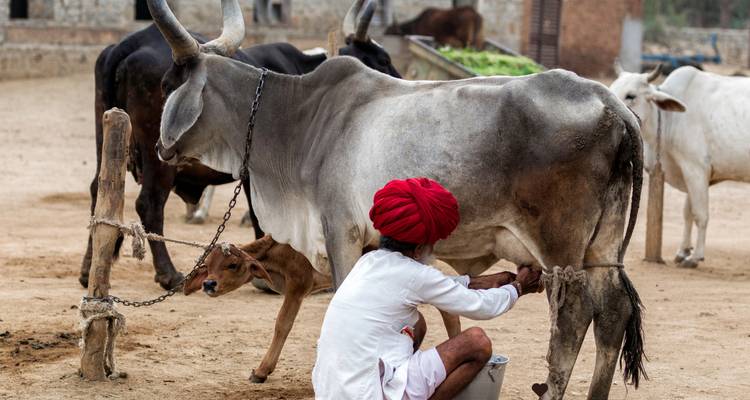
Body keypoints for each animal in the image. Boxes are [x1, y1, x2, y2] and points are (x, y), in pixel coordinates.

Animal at [79, 0, 401, 290]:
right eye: (382, 59)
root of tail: (126, 46)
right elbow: (263, 218)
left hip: (108, 138)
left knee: (99, 193)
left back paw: (87, 271)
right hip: (158, 159)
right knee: (150, 204)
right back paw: (169, 274)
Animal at [148, 0, 647, 398]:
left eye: (167, 84)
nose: (159, 148)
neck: (299, 120)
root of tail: (612, 104)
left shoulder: (340, 232)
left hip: (560, 249)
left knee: (573, 318)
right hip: (601, 250)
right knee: (613, 313)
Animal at [610, 64, 750, 269]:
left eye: (631, 95)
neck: (669, 119)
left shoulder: (696, 170)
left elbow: (700, 214)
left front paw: (695, 256)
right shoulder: (689, 172)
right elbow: (687, 213)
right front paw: (683, 251)